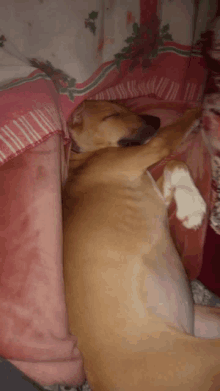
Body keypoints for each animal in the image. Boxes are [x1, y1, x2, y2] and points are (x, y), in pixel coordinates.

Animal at [62, 102, 220, 391]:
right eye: (112, 115)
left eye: (123, 107)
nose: (155, 120)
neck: (86, 158)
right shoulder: (152, 147)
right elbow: (176, 140)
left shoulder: (155, 186)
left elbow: (175, 164)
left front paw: (189, 203)